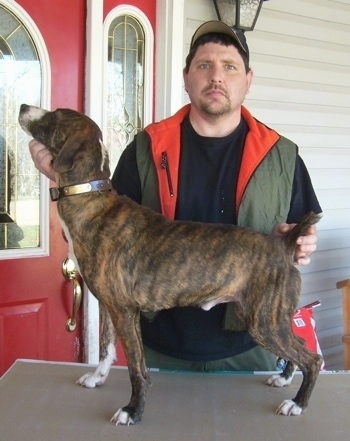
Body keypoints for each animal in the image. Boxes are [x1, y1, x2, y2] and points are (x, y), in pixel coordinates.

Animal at [19, 105, 322, 424]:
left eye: (56, 115)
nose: (23, 107)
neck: (91, 199)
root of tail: (283, 245)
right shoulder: (109, 306)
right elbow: (105, 348)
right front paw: (96, 378)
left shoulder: (125, 312)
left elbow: (137, 370)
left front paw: (132, 411)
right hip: (271, 319)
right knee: (300, 347)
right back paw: (284, 379)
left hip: (264, 322)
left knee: (313, 359)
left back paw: (297, 403)